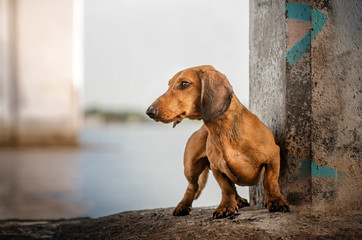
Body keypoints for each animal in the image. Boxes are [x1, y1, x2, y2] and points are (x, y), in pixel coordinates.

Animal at [146, 65, 290, 218]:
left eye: (184, 84)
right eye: (169, 85)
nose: (149, 112)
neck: (223, 131)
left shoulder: (273, 157)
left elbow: (270, 182)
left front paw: (276, 201)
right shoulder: (216, 168)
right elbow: (226, 188)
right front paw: (226, 207)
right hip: (190, 167)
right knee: (192, 187)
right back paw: (183, 206)